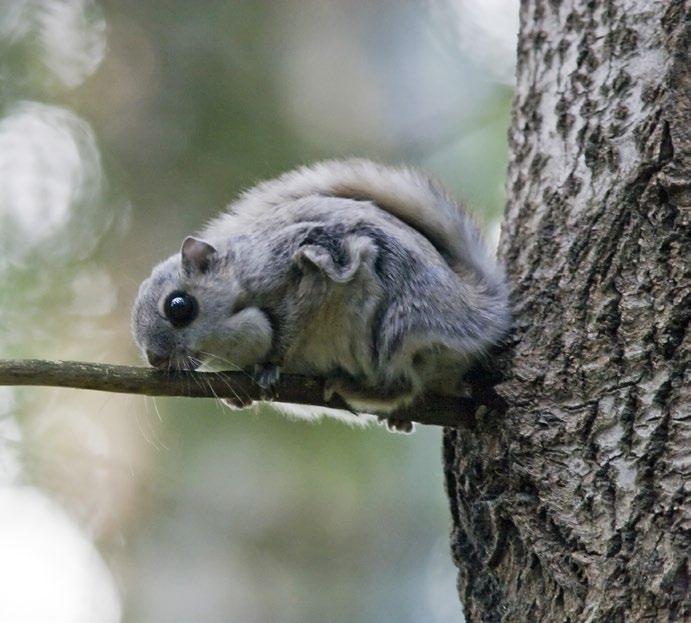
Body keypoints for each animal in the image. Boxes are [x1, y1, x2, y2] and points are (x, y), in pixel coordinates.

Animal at [131, 161, 508, 432]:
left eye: (179, 307)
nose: (155, 359)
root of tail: (477, 310)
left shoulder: (299, 271)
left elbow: (293, 321)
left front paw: (270, 366)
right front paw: (240, 398)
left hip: (394, 327)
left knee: (400, 384)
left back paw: (347, 386)